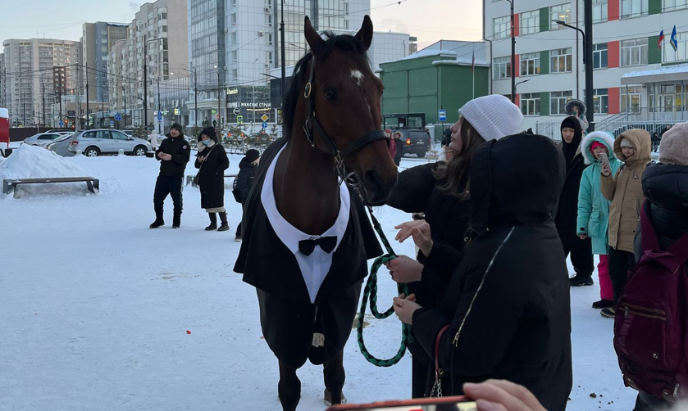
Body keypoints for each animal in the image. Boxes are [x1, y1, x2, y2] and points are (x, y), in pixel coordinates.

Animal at [234, 14, 398, 410]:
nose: (382, 178)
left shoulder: (339, 307)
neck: (313, 235)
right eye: (330, 92)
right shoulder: (282, 316)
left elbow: (334, 378)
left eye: (379, 88)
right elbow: (289, 387)